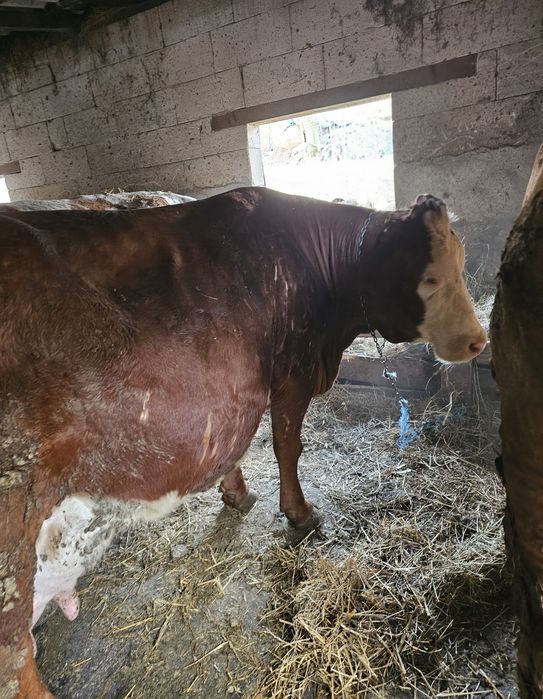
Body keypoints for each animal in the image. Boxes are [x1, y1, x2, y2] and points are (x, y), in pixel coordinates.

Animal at [0, 187, 486, 698]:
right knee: (14, 663)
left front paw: (235, 493)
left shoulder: (228, 395)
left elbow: (233, 447)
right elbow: (287, 447)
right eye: (429, 277)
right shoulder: (292, 370)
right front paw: (299, 513)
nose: (480, 341)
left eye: (461, 260)